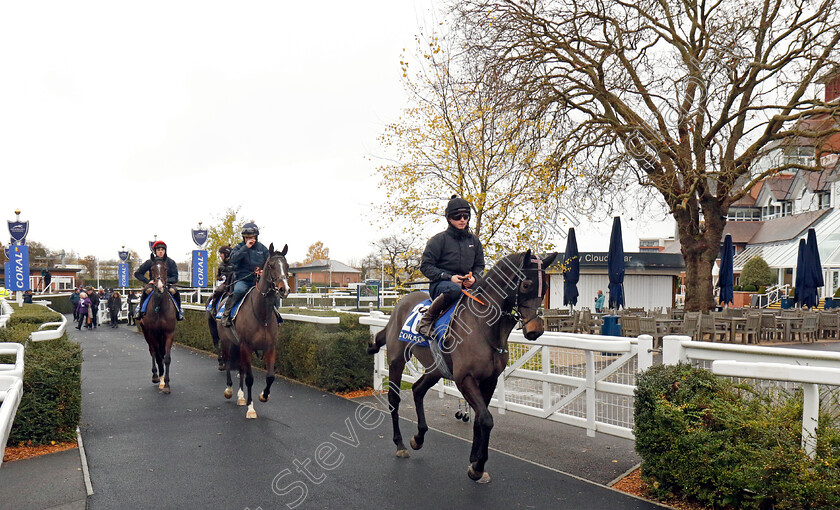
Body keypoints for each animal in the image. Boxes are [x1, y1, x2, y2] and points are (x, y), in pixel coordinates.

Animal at [141, 258, 177, 394]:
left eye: (165, 268)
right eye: (152, 269)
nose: (160, 286)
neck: (160, 307)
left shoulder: (169, 333)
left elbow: (166, 358)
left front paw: (166, 384)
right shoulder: (152, 333)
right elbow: (157, 355)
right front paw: (160, 378)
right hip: (147, 333)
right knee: (153, 352)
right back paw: (156, 376)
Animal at [215, 243, 290, 418]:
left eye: (287, 266)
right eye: (271, 265)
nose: (284, 289)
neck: (262, 315)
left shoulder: (270, 347)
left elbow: (270, 376)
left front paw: (263, 395)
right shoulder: (246, 346)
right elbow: (250, 378)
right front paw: (251, 408)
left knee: (241, 368)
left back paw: (241, 397)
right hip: (228, 342)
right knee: (228, 363)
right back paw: (229, 390)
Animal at [370, 250, 556, 482]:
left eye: (545, 287)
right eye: (526, 284)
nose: (535, 329)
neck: (483, 327)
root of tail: (400, 303)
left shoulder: (489, 380)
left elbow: (479, 419)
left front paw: (474, 460)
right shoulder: (465, 379)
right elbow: (486, 419)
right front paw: (478, 466)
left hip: (436, 368)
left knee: (417, 389)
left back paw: (418, 437)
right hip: (397, 361)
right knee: (394, 399)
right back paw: (400, 443)